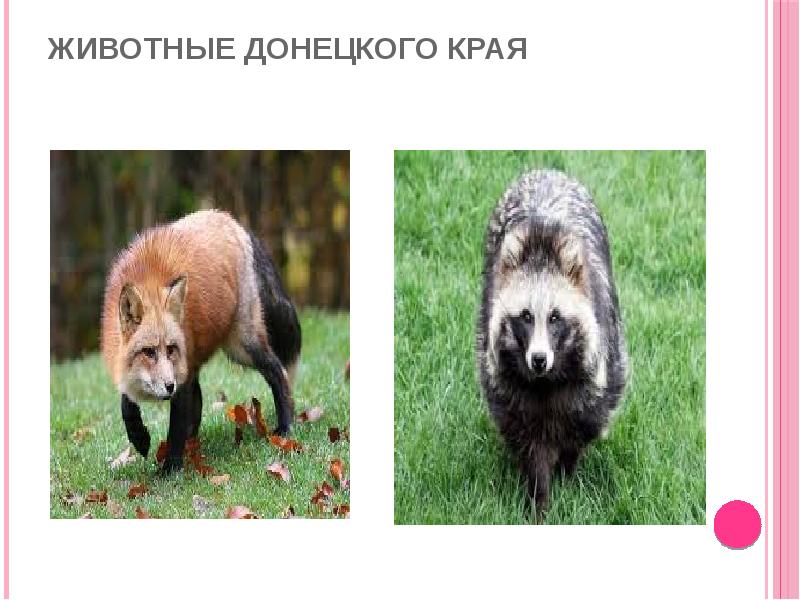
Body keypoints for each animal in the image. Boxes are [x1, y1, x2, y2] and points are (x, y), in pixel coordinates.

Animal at [100, 209, 301, 472]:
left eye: (171, 349)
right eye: (149, 352)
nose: (169, 387)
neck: (149, 282)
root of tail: (232, 221)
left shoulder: (182, 375)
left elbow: (176, 428)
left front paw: (170, 470)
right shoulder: (133, 366)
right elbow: (126, 404)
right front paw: (139, 437)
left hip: (242, 346)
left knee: (279, 373)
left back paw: (286, 426)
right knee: (198, 407)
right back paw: (194, 446)